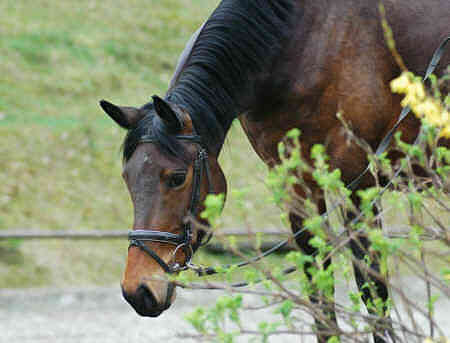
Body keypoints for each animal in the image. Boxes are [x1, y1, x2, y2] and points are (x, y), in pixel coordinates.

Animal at [99, 1, 450, 342]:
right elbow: (319, 294)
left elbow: (373, 290)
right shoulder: (297, 186)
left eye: (176, 178)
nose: (139, 291)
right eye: (127, 179)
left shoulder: (358, 184)